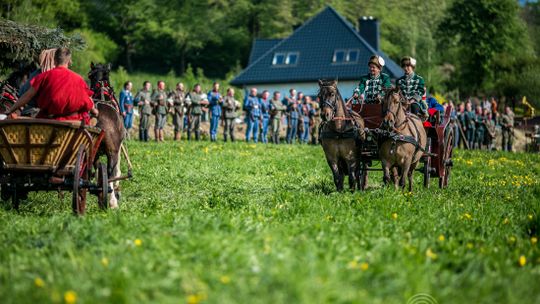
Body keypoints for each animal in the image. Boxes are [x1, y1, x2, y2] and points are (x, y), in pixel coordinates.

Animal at [89, 62, 130, 209]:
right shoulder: (117, 148)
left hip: (93, 152)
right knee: (110, 172)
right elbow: (116, 171)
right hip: (112, 152)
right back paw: (112, 201)